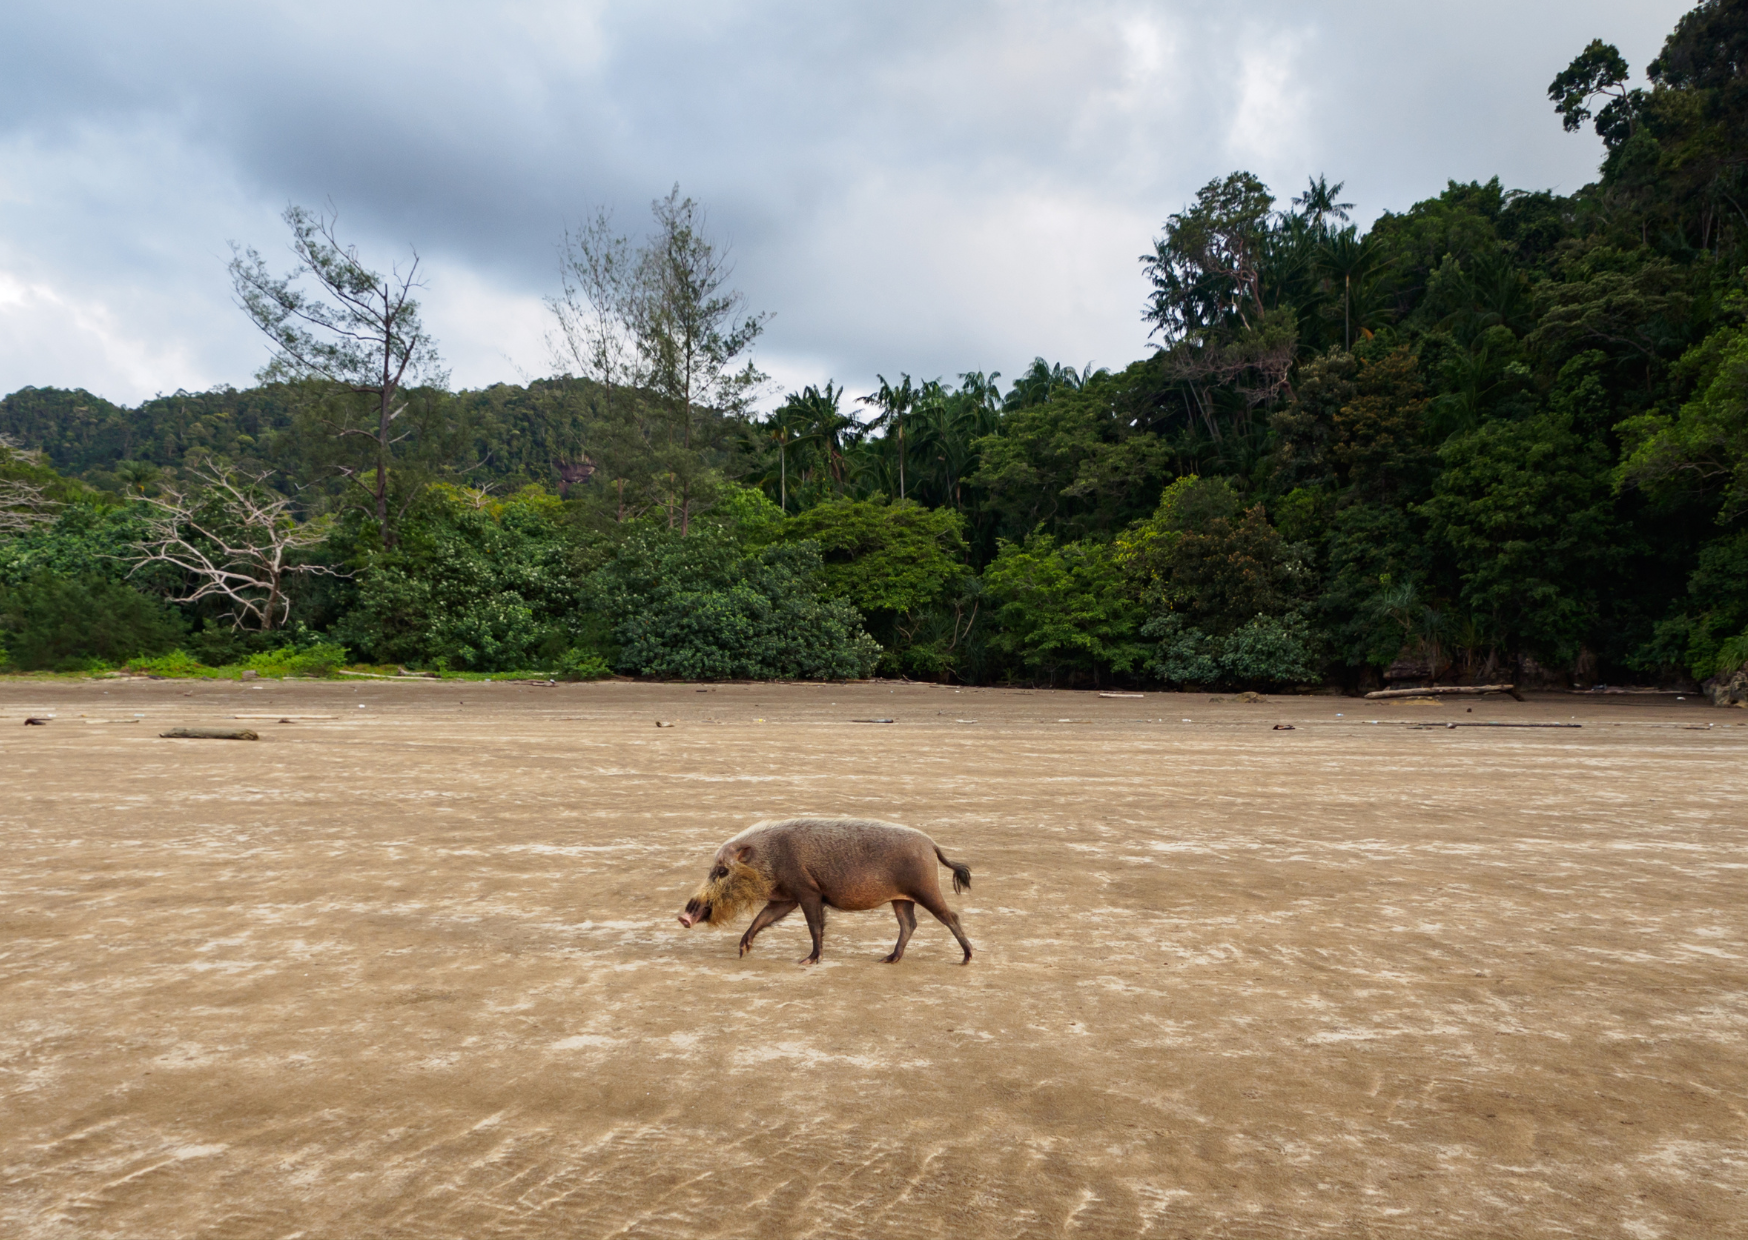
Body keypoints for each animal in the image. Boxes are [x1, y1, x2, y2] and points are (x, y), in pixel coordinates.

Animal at [674, 818, 978, 965]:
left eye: (722, 871)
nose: (683, 918)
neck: (770, 857)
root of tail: (931, 844)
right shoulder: (786, 898)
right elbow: (762, 918)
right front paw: (743, 951)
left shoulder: (808, 892)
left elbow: (814, 926)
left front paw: (808, 961)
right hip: (901, 899)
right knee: (909, 924)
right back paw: (887, 960)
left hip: (925, 887)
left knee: (950, 916)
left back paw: (966, 959)